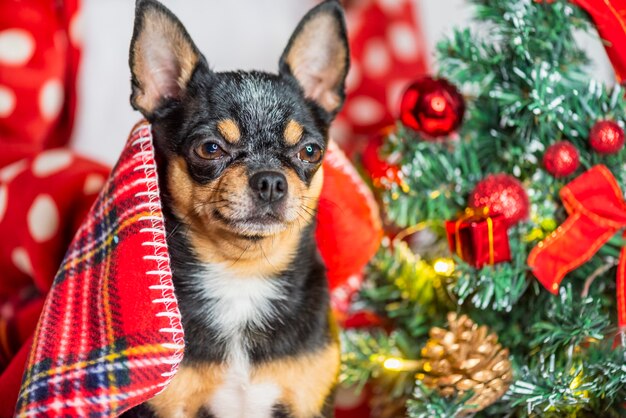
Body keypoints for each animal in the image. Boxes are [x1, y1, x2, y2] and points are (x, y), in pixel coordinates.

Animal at [124, 0, 348, 418]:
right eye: (209, 148)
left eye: (310, 151)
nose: (271, 180)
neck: (242, 277)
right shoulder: (168, 406)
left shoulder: (306, 402)